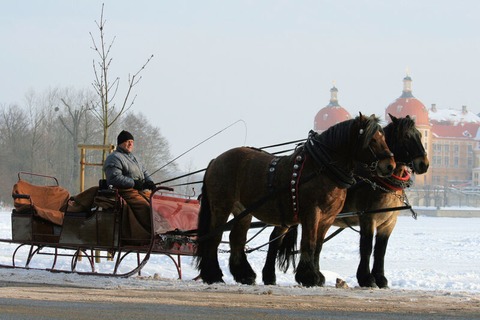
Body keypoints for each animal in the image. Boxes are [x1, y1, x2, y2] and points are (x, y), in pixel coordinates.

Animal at [193, 114, 396, 286]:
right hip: (221, 205)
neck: (322, 168)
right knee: (214, 237)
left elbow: (318, 246)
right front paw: (308, 277)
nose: (390, 165)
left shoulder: (327, 218)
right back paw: (213, 275)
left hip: (242, 210)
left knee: (237, 238)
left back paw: (245, 275)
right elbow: (309, 242)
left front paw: (317, 276)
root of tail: (216, 160)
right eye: (372, 139)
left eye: (384, 138)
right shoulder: (312, 213)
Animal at [260, 114, 430, 288]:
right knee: (274, 240)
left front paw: (380, 278)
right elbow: (367, 247)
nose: (424, 164)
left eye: (420, 135)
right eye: (406, 136)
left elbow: (381, 250)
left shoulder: (389, 222)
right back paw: (269, 276)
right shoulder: (368, 217)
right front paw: (366, 278)